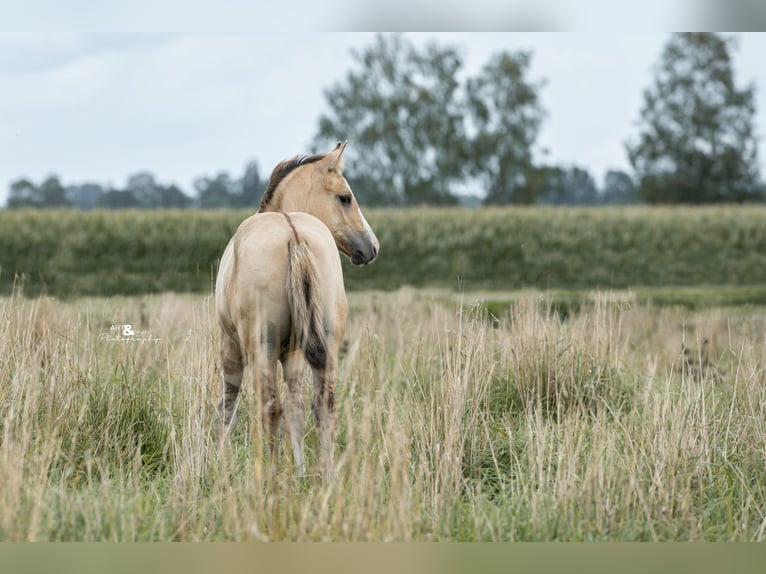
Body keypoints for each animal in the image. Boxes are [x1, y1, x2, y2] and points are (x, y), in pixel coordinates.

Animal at [214, 141, 379, 479]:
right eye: (346, 197)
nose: (373, 247)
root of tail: (293, 235)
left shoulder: (231, 347)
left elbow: (228, 407)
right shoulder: (292, 354)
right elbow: (296, 410)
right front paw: (300, 468)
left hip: (261, 348)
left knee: (269, 407)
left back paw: (268, 475)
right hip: (325, 346)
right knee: (323, 406)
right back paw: (327, 474)